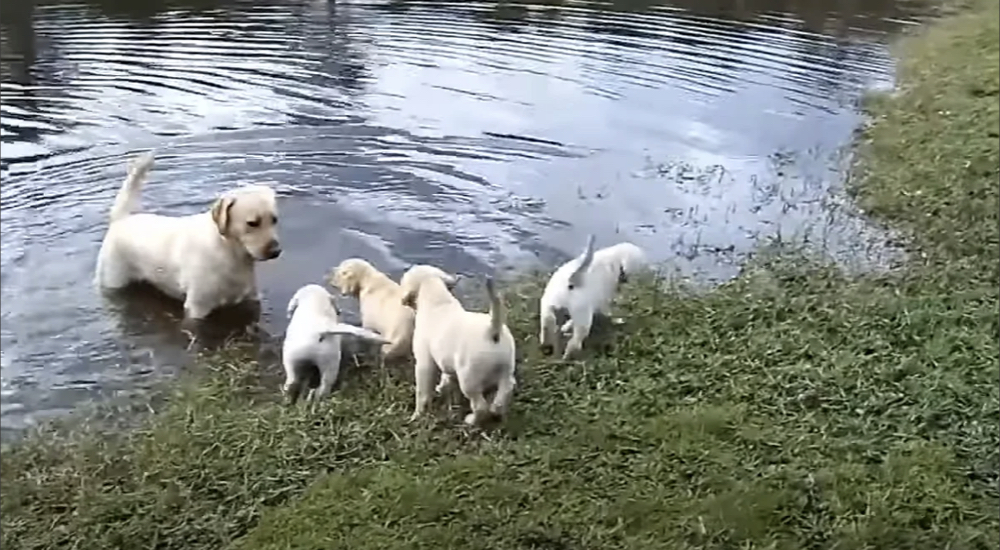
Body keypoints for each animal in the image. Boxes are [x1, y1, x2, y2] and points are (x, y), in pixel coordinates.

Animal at [95, 152, 284, 324]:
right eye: (252, 223)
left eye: (275, 220)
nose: (276, 251)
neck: (230, 253)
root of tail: (122, 218)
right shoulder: (198, 307)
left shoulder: (251, 297)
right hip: (114, 278)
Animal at [400, 266, 520, 426]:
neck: (437, 299)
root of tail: (492, 330)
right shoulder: (446, 361)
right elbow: (446, 377)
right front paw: (441, 388)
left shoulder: (424, 363)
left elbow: (422, 393)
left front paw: (417, 415)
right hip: (506, 369)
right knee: (506, 390)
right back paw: (496, 410)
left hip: (469, 379)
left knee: (480, 406)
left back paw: (471, 420)